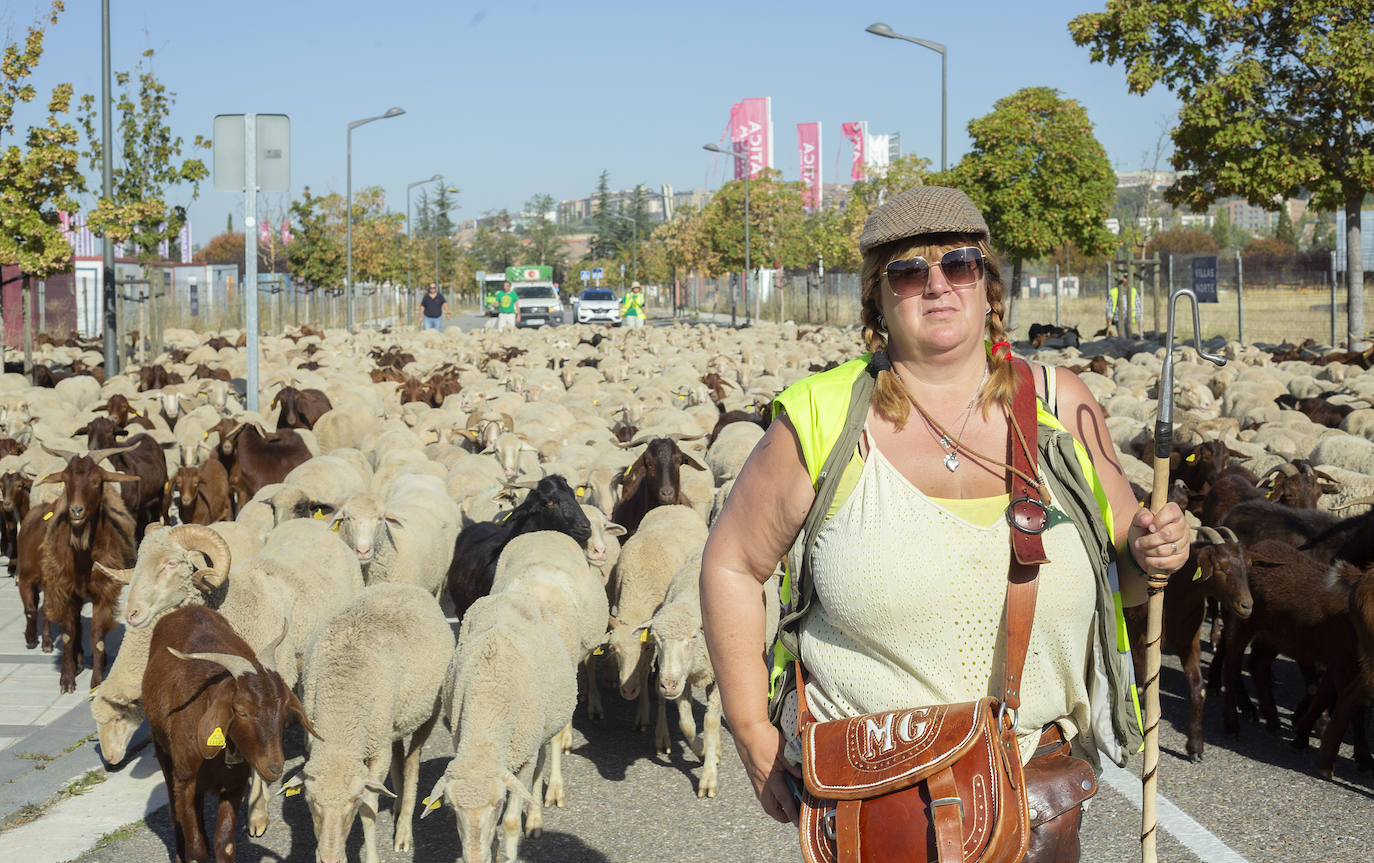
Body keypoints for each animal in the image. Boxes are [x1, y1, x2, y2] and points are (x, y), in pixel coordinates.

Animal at [144, 604, 318, 863]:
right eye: (241, 711)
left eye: (284, 707)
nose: (275, 767)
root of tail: (188, 608)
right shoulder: (185, 781)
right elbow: (196, 848)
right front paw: (189, 851)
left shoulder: (234, 785)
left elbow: (224, 844)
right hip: (162, 751)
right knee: (175, 810)